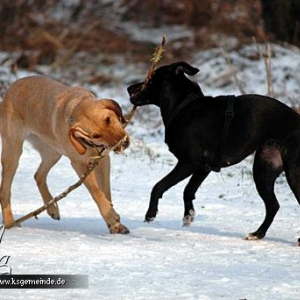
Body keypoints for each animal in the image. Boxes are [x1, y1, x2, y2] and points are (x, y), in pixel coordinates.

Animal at [0, 75, 129, 234]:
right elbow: (96, 192)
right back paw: (9, 223)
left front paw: (115, 225)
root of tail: (10, 89)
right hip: (13, 152)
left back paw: (52, 208)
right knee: (5, 190)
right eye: (96, 135)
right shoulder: (79, 165)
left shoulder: (103, 161)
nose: (123, 143)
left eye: (108, 119)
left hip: (53, 152)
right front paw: (111, 216)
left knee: (38, 175)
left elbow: (106, 192)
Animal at [127, 61, 300, 241]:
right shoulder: (204, 167)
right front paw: (188, 215)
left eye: (150, 78)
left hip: (292, 174)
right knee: (273, 206)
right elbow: (188, 190)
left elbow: (158, 186)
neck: (183, 105)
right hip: (263, 170)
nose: (129, 88)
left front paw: (151, 213)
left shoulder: (188, 163)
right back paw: (257, 234)